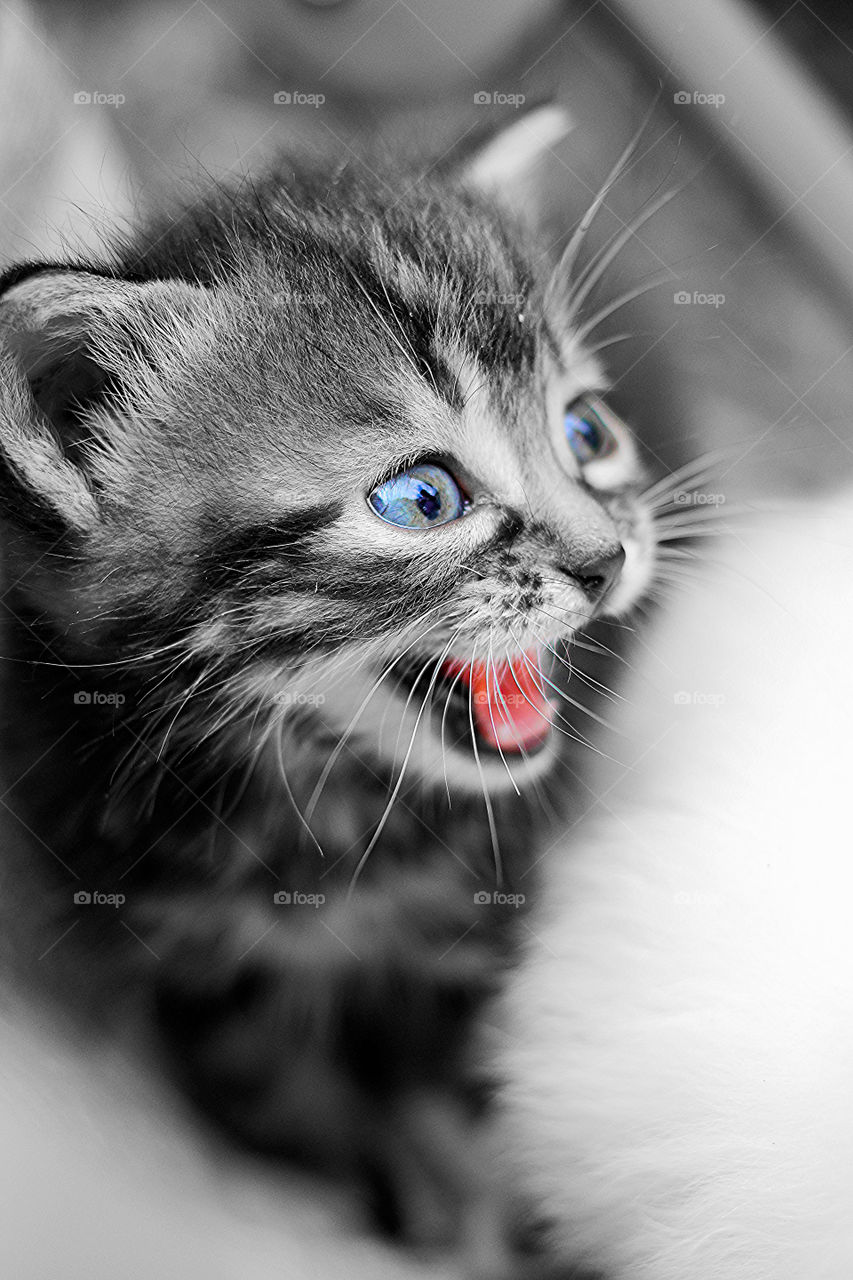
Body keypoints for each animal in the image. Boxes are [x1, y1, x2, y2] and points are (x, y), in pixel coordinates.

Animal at [0, 110, 650, 1280]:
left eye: (587, 434)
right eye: (422, 498)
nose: (607, 557)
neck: (322, 807)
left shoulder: (475, 916)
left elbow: (458, 1093)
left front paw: (484, 1207)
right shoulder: (197, 961)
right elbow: (280, 1090)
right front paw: (393, 1195)